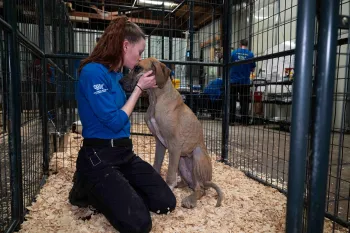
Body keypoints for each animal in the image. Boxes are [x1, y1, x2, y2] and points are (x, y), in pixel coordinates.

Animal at [120, 57, 223, 208]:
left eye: (138, 68)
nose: (120, 82)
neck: (156, 98)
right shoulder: (160, 143)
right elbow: (157, 163)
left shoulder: (174, 145)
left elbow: (169, 173)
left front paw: (168, 186)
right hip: (181, 160)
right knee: (189, 183)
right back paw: (182, 185)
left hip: (196, 154)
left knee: (201, 189)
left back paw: (190, 199)